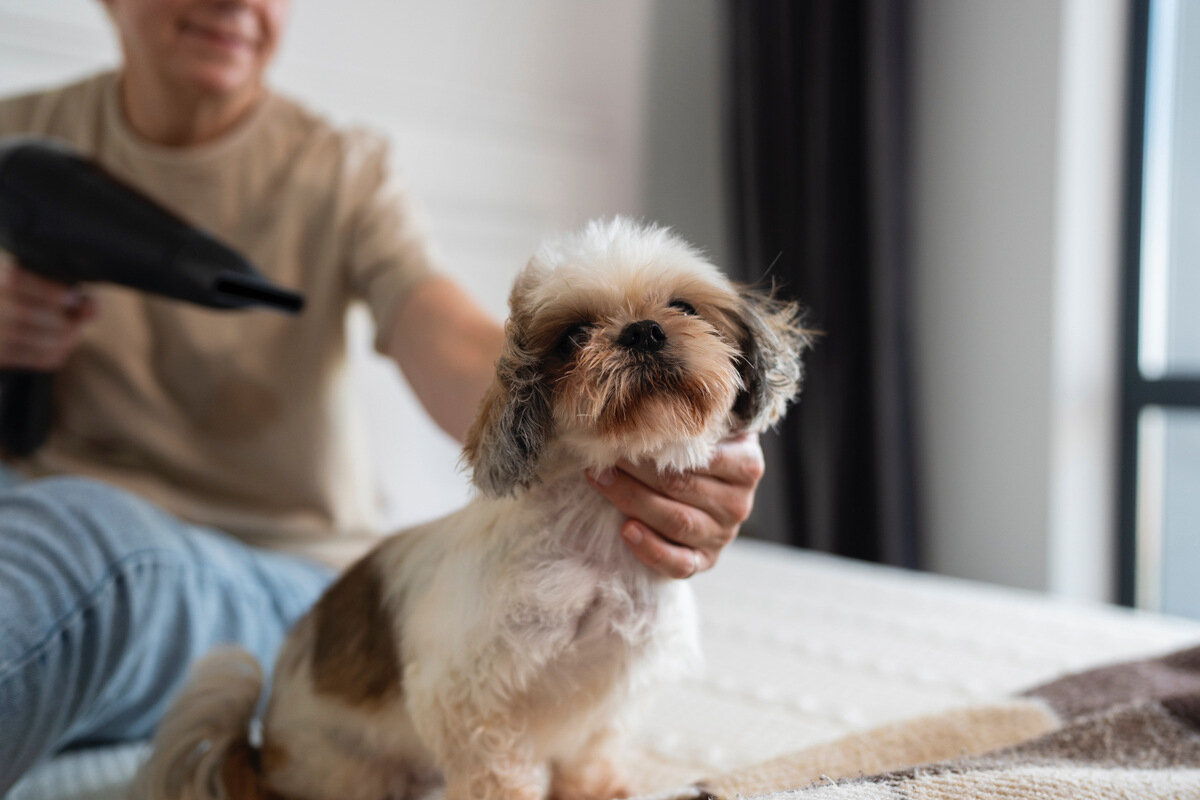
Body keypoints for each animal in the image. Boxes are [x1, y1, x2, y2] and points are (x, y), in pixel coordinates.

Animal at [131, 219, 811, 800]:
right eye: (572, 335)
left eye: (685, 307)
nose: (643, 329)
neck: (595, 540)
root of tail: (260, 753)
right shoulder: (466, 699)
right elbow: (498, 776)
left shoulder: (610, 687)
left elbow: (591, 755)